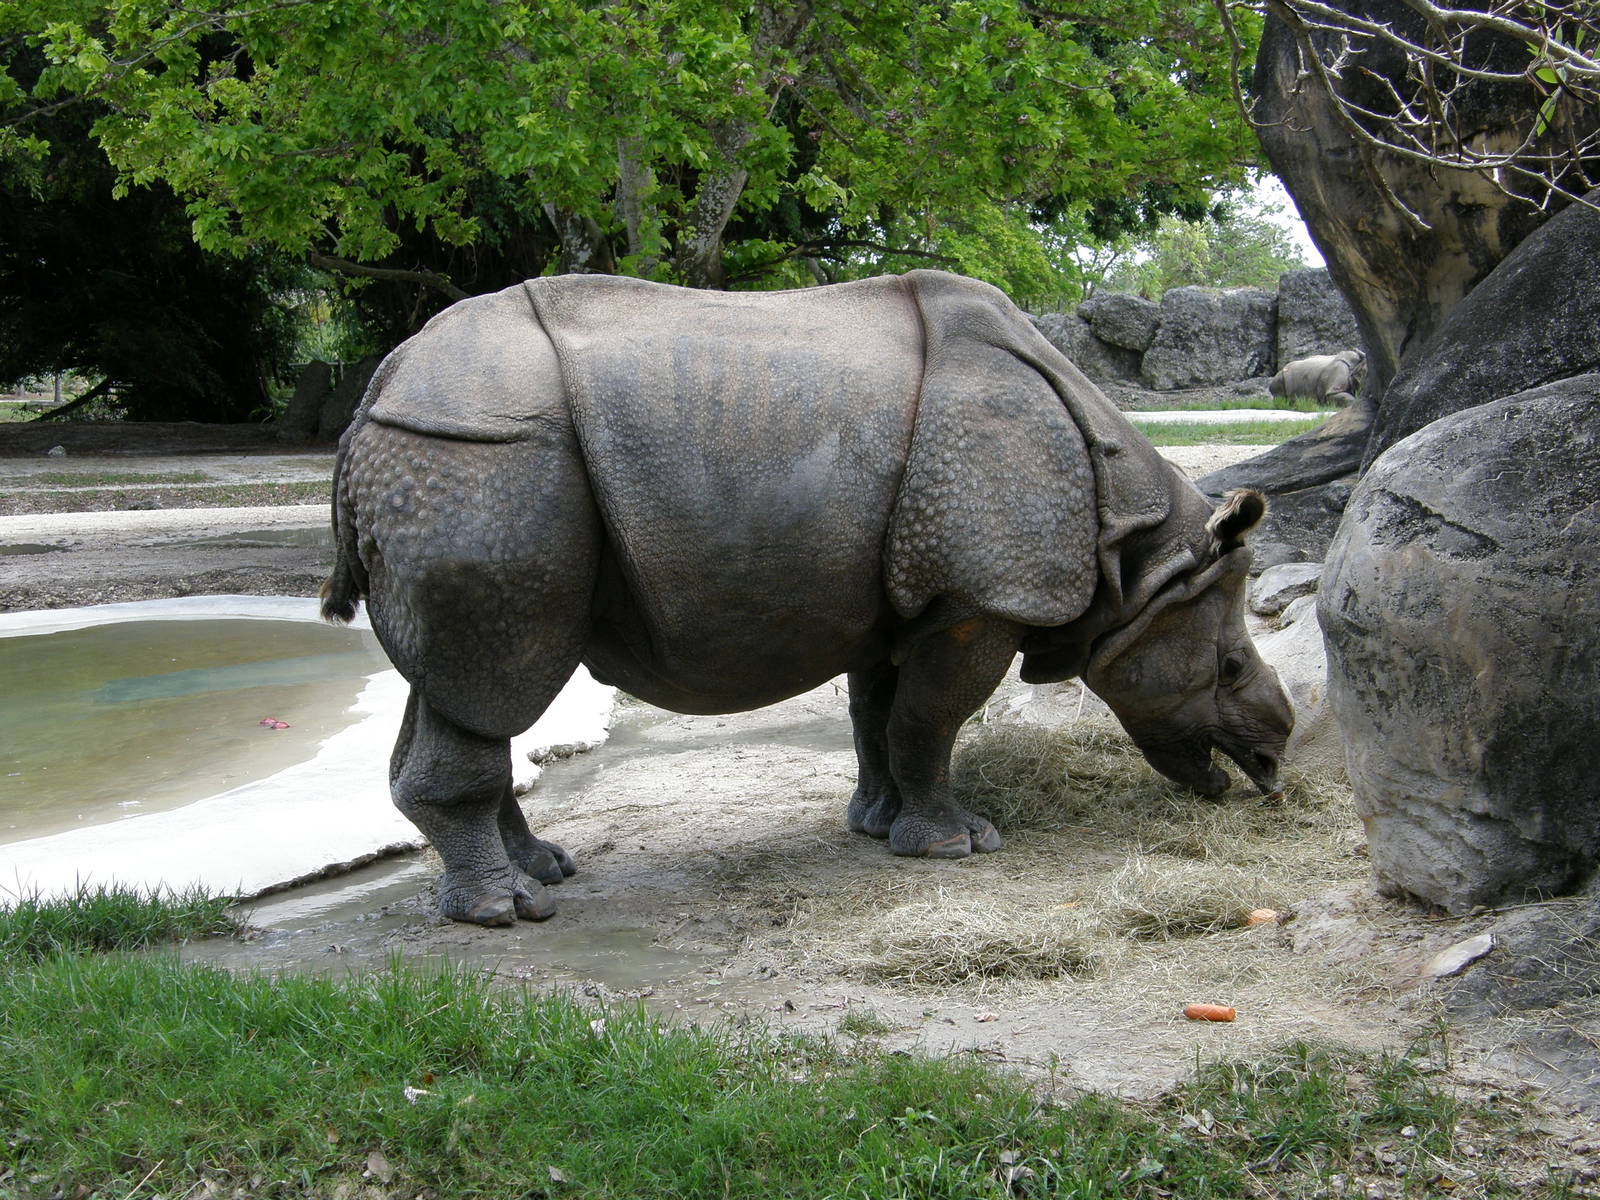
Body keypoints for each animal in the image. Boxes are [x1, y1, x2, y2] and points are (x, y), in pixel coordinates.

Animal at [322, 270, 1293, 926]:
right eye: (1228, 666)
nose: (1273, 762)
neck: (1144, 558)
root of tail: (379, 386)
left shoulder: (908, 596)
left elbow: (883, 713)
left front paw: (877, 825)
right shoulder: (983, 591)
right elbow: (932, 718)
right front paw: (957, 846)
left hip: (456, 463)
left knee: (458, 687)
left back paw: (543, 871)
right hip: (477, 461)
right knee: (499, 673)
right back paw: (507, 911)